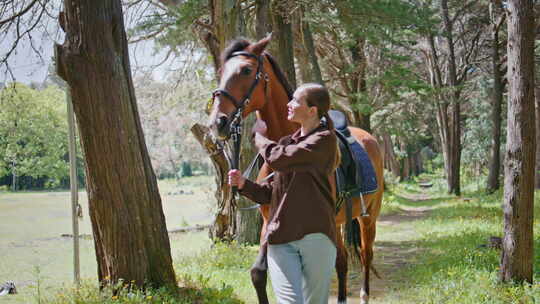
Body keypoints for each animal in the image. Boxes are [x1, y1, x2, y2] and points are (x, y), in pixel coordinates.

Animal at [207, 36, 384, 304]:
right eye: (220, 72)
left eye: (246, 70)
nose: (218, 122)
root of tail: (368, 138)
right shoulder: (271, 222)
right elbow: (258, 273)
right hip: (337, 223)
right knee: (342, 261)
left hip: (368, 216)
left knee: (365, 254)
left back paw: (364, 294)